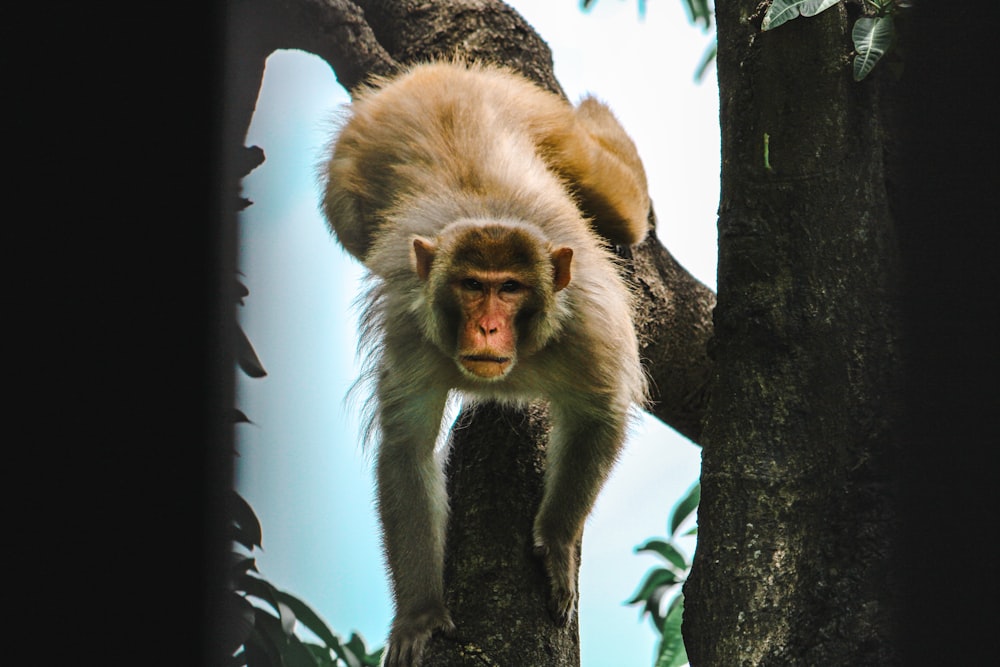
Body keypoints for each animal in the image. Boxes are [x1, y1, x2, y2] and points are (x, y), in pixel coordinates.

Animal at [318, 62, 648, 667]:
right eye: (473, 286)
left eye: (510, 288)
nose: (489, 328)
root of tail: (433, 77)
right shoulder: (412, 334)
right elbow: (407, 448)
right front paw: (420, 613)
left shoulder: (586, 330)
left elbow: (600, 413)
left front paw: (557, 541)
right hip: (350, 169)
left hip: (538, 115)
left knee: (622, 208)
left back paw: (597, 116)